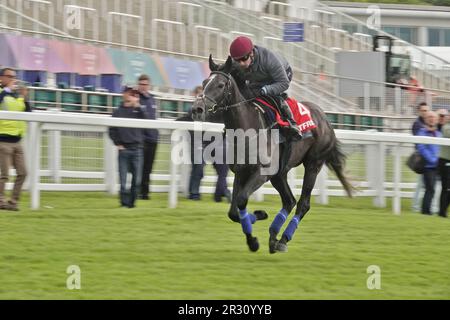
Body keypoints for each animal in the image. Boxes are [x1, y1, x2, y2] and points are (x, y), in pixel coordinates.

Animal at [192, 55, 354, 255]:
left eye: (221, 85)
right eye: (204, 82)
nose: (197, 109)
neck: (247, 127)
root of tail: (326, 120)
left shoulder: (262, 173)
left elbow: (242, 200)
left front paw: (258, 221)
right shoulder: (241, 171)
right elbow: (234, 211)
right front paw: (254, 236)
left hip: (313, 164)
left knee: (302, 204)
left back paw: (283, 239)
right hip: (279, 173)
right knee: (289, 201)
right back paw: (273, 237)